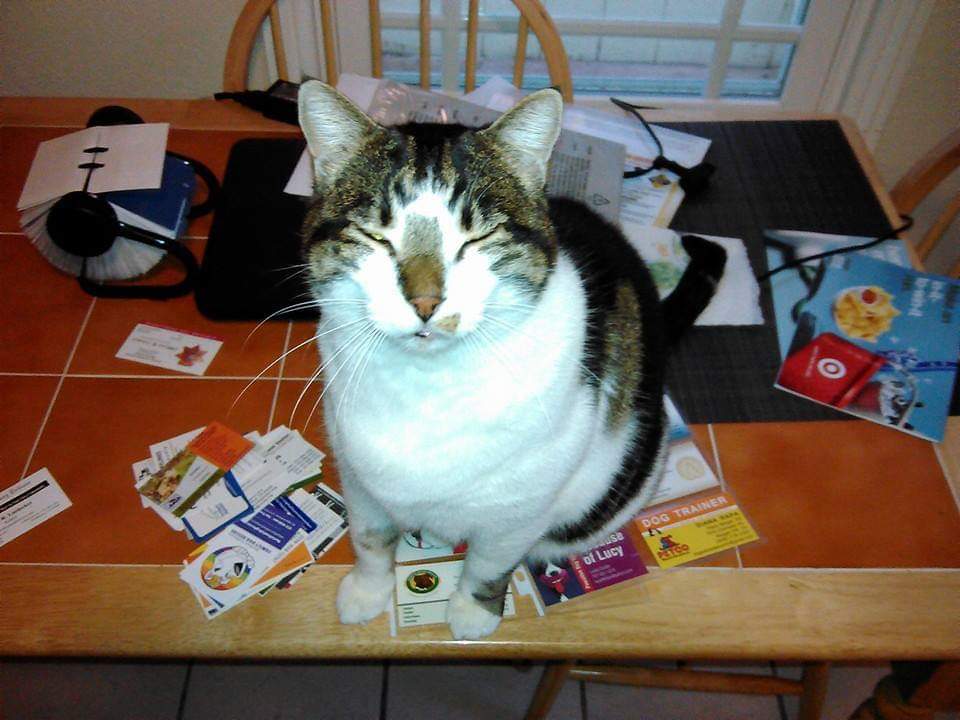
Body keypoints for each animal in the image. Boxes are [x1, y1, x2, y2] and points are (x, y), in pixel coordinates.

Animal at [296, 81, 724, 640]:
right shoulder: (357, 479)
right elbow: (369, 539)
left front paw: (472, 612)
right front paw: (367, 591)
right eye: (376, 236)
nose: (427, 302)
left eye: (477, 238)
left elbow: (488, 563)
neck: (426, 389)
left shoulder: (519, 512)